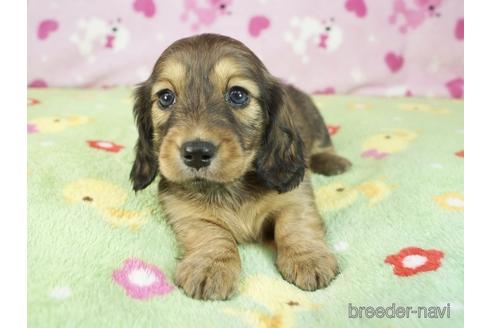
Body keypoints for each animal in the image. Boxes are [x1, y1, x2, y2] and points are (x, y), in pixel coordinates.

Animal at [131, 33, 352, 300]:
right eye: (166, 97)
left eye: (238, 95)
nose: (196, 153)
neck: (230, 186)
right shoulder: (184, 212)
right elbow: (210, 233)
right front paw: (210, 266)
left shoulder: (296, 195)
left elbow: (295, 223)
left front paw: (308, 257)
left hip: (315, 122)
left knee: (323, 145)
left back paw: (332, 161)